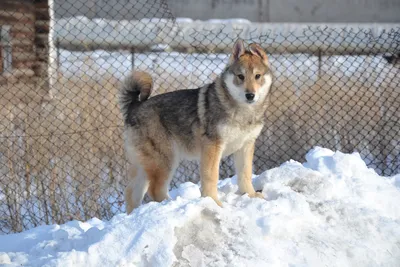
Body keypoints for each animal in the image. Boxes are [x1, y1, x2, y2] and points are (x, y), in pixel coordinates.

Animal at [119, 38, 274, 215]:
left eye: (257, 76)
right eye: (240, 76)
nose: (250, 95)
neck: (243, 111)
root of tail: (134, 106)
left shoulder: (246, 146)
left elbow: (245, 174)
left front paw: (251, 195)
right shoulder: (213, 146)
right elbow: (211, 177)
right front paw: (214, 203)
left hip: (147, 165)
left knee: (131, 192)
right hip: (166, 161)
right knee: (155, 190)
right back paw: (173, 205)